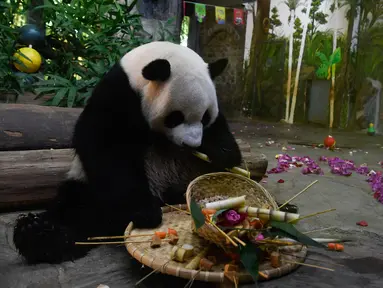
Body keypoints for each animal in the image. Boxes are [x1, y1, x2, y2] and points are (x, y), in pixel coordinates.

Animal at [12, 41, 243, 264]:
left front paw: (220, 154)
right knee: (76, 208)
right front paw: (145, 212)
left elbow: (224, 141)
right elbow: (106, 149)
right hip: (87, 187)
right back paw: (40, 235)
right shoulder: (117, 97)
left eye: (205, 117)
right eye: (175, 117)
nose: (191, 144)